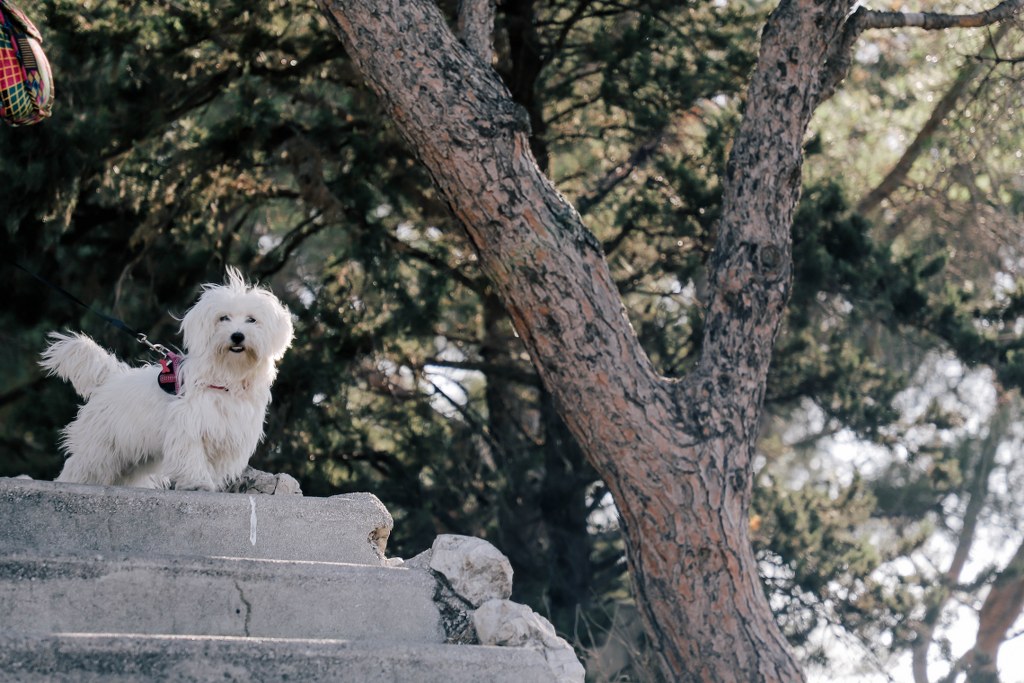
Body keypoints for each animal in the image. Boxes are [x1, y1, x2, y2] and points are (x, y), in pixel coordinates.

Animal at [39, 268, 292, 491]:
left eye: (252, 320)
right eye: (223, 318)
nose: (237, 336)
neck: (228, 375)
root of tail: (112, 378)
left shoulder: (226, 433)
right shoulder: (189, 425)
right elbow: (192, 456)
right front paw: (197, 483)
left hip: (134, 456)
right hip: (100, 446)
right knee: (81, 467)